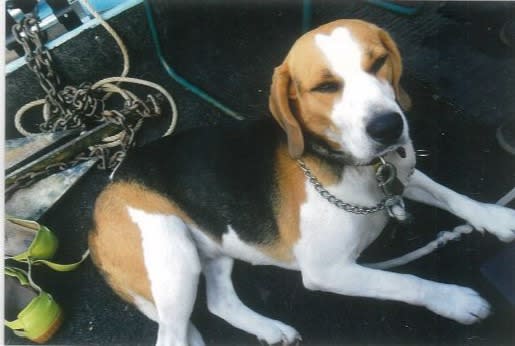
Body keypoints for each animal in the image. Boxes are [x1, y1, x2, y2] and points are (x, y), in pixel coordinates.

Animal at [89, 19, 515, 346]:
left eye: (379, 62)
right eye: (325, 87)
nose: (388, 127)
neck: (355, 166)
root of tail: (106, 191)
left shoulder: (400, 172)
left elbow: (450, 194)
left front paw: (495, 218)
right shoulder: (328, 271)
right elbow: (406, 282)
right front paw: (454, 300)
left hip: (218, 241)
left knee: (219, 303)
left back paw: (269, 329)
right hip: (174, 258)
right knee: (173, 335)